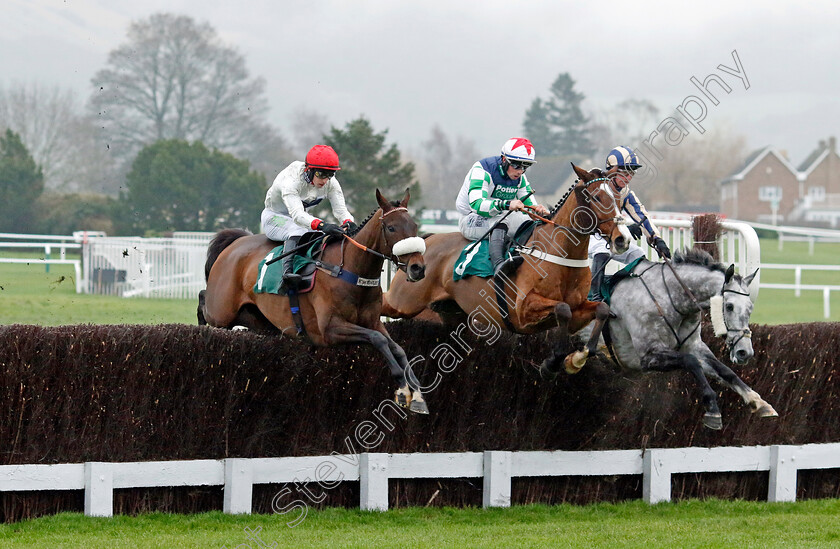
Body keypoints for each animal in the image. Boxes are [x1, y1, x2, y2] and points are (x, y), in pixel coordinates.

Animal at [199, 188, 430, 412]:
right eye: (391, 228)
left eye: (414, 225)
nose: (418, 268)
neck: (349, 270)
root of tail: (236, 242)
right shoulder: (329, 329)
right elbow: (378, 339)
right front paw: (403, 389)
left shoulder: (372, 322)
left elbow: (397, 347)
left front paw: (417, 393)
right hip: (221, 311)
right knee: (203, 301)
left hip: (255, 319)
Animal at [380, 164, 632, 372]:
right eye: (597, 197)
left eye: (619, 199)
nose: (622, 239)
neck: (560, 255)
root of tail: (427, 240)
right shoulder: (522, 310)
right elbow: (562, 309)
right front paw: (553, 363)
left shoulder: (578, 311)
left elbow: (600, 309)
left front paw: (577, 359)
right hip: (404, 301)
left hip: (451, 312)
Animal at [556, 246, 780, 430]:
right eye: (730, 306)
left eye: (750, 308)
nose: (745, 352)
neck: (671, 298)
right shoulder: (647, 357)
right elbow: (691, 362)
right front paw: (712, 408)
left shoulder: (694, 346)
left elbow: (724, 371)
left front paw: (759, 402)